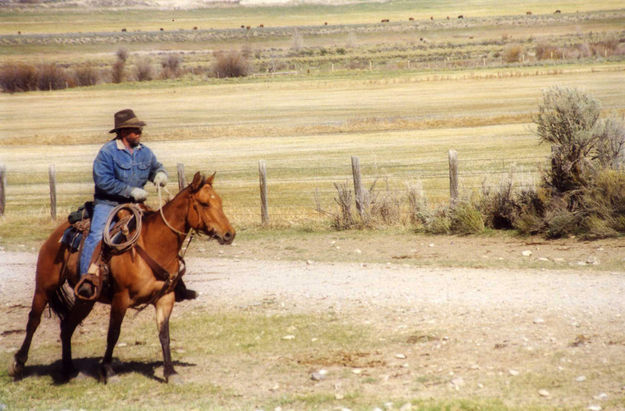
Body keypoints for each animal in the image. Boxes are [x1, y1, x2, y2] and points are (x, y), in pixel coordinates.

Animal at [8, 172, 235, 384]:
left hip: (86, 299)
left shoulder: (165, 298)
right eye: (204, 203)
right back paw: (19, 364)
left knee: (67, 327)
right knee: (33, 321)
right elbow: (113, 333)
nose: (229, 234)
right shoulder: (121, 298)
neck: (154, 245)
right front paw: (108, 371)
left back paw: (69, 370)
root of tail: (56, 236)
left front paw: (170, 372)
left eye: (219, 202)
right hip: (44, 287)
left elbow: (164, 335)